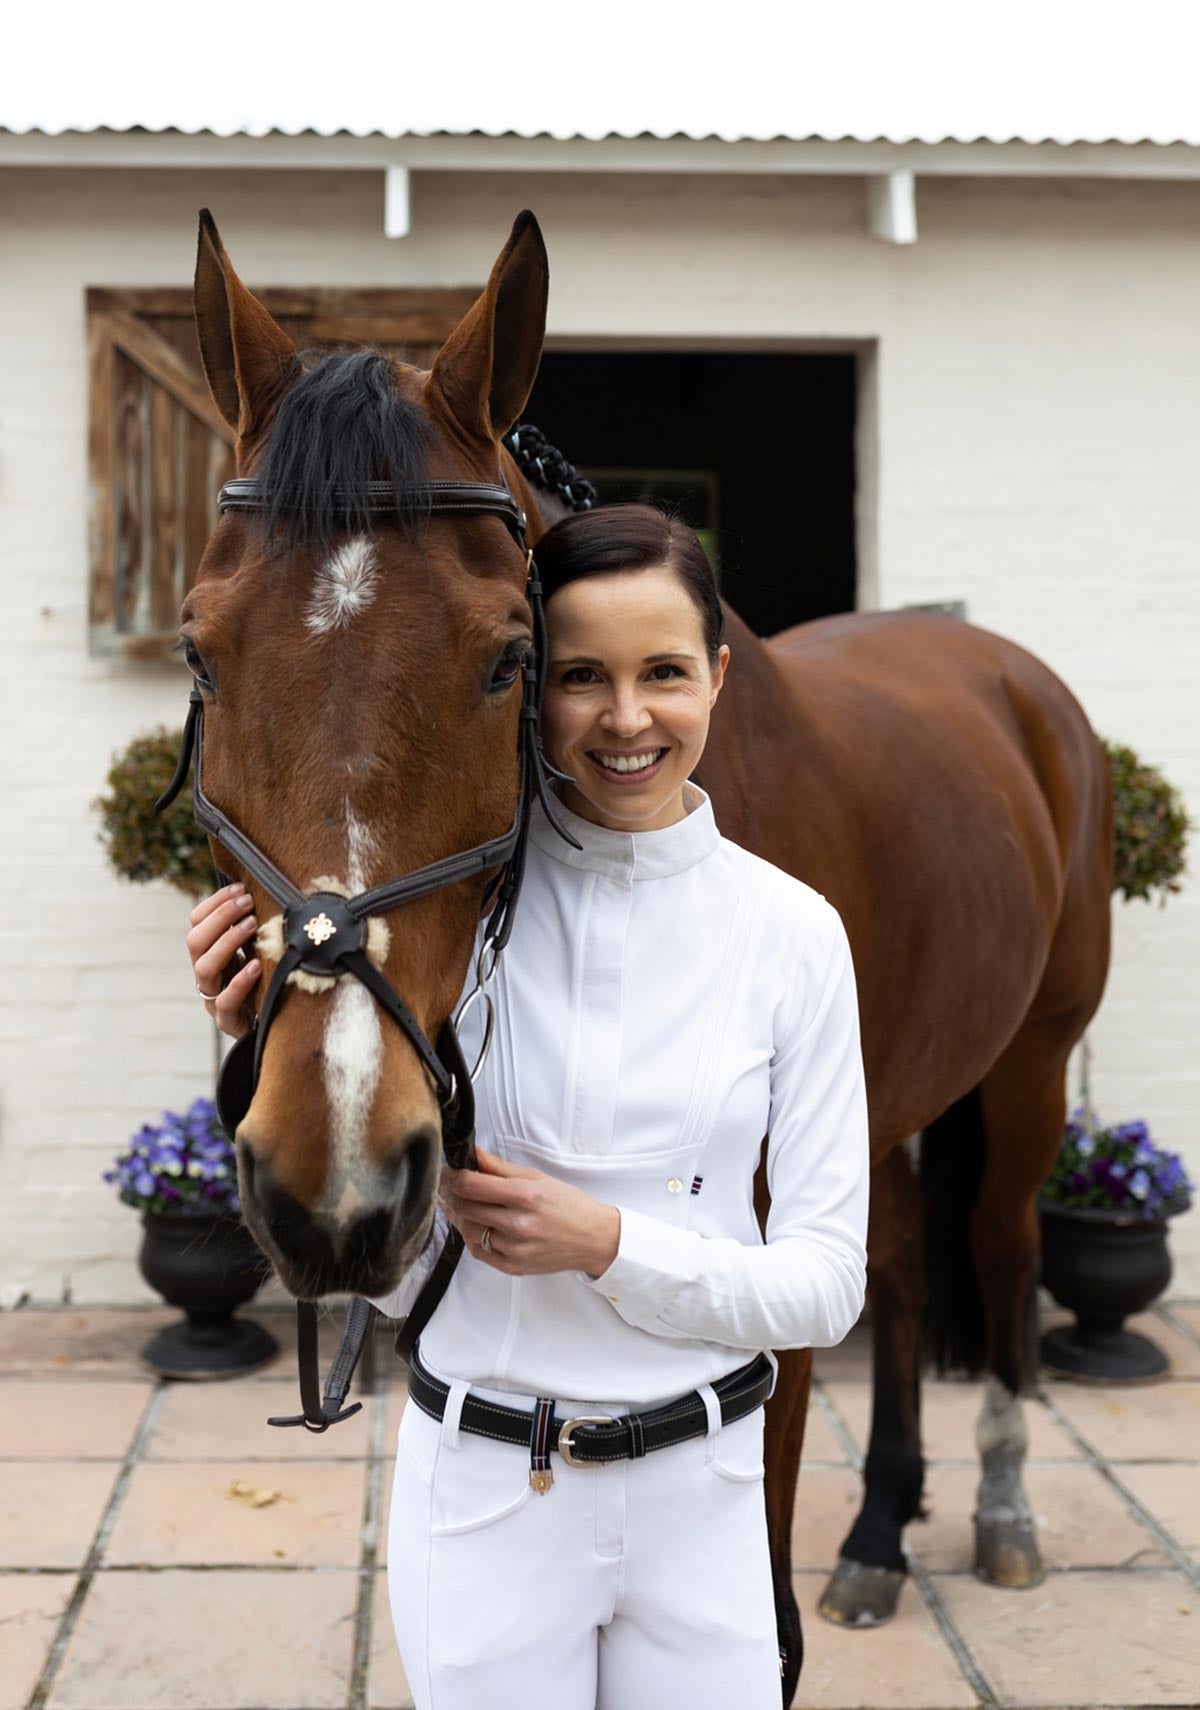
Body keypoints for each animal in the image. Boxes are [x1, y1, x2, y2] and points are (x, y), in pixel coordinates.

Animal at [182, 206, 1114, 1703]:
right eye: (203, 654)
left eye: (513, 659)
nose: (332, 1184)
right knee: (909, 1262)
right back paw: (879, 1529)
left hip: (1030, 1064)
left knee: (1001, 1241)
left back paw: (999, 1510)